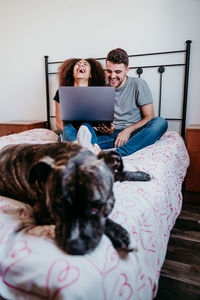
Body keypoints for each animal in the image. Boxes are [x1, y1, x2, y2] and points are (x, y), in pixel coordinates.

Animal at [0, 142, 150, 254]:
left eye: (97, 207)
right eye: (58, 207)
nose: (76, 246)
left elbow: (120, 173)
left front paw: (141, 174)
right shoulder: (42, 214)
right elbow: (106, 221)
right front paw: (122, 235)